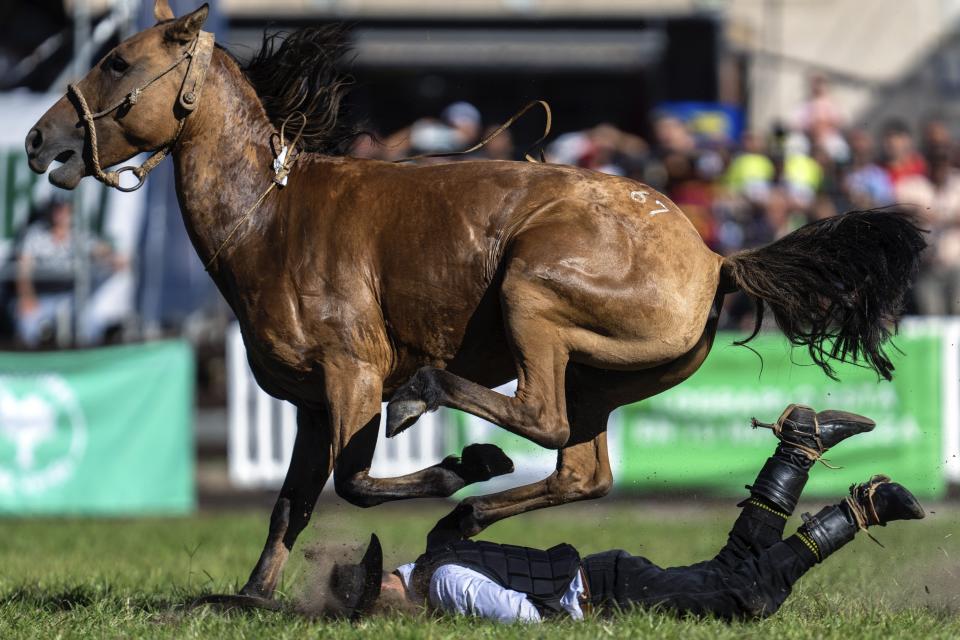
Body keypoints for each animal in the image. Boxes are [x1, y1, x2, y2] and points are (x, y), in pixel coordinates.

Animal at [24, 2, 924, 604]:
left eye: (117, 61)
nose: (37, 140)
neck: (272, 215)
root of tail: (713, 257)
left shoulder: (354, 375)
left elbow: (353, 482)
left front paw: (460, 464)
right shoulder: (312, 402)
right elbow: (291, 501)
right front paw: (252, 593)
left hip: (534, 295)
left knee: (540, 420)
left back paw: (453, 447)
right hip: (602, 378)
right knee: (581, 469)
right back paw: (468, 520)